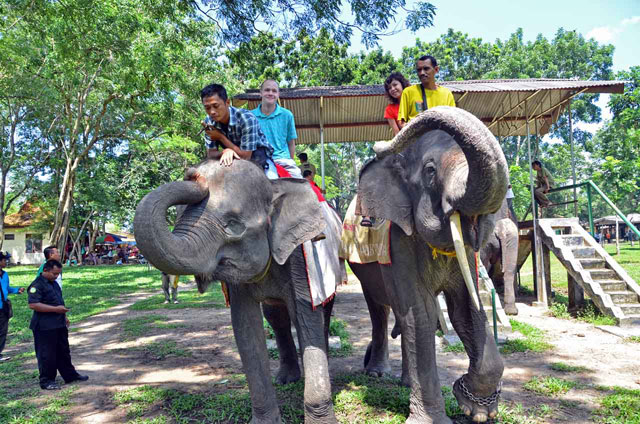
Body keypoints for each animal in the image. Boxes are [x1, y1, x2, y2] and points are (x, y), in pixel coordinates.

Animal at [135, 160, 342, 424]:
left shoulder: (299, 257)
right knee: (276, 317)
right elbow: (246, 326)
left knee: (323, 310)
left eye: (233, 226)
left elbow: (306, 319)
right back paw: (285, 379)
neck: (273, 187)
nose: (193, 174)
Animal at [356, 104, 510, 422]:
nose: (379, 146)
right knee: (379, 310)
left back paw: (404, 382)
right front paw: (432, 419)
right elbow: (421, 314)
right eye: (430, 171)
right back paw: (376, 373)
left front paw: (476, 409)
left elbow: (465, 309)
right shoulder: (398, 242)